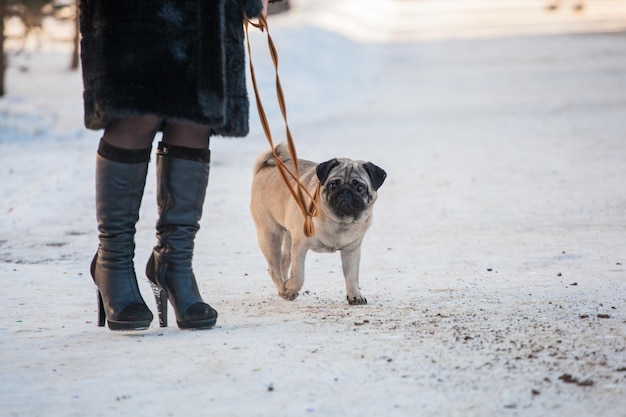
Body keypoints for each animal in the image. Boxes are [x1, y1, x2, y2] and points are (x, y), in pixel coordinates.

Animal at [250, 145, 386, 304]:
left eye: (360, 188)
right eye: (333, 185)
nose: (345, 192)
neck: (339, 222)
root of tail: (264, 167)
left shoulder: (351, 250)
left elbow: (352, 277)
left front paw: (355, 296)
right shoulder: (300, 247)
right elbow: (299, 276)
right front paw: (290, 287)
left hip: (288, 237)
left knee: (283, 262)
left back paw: (283, 286)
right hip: (270, 235)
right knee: (274, 268)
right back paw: (284, 290)